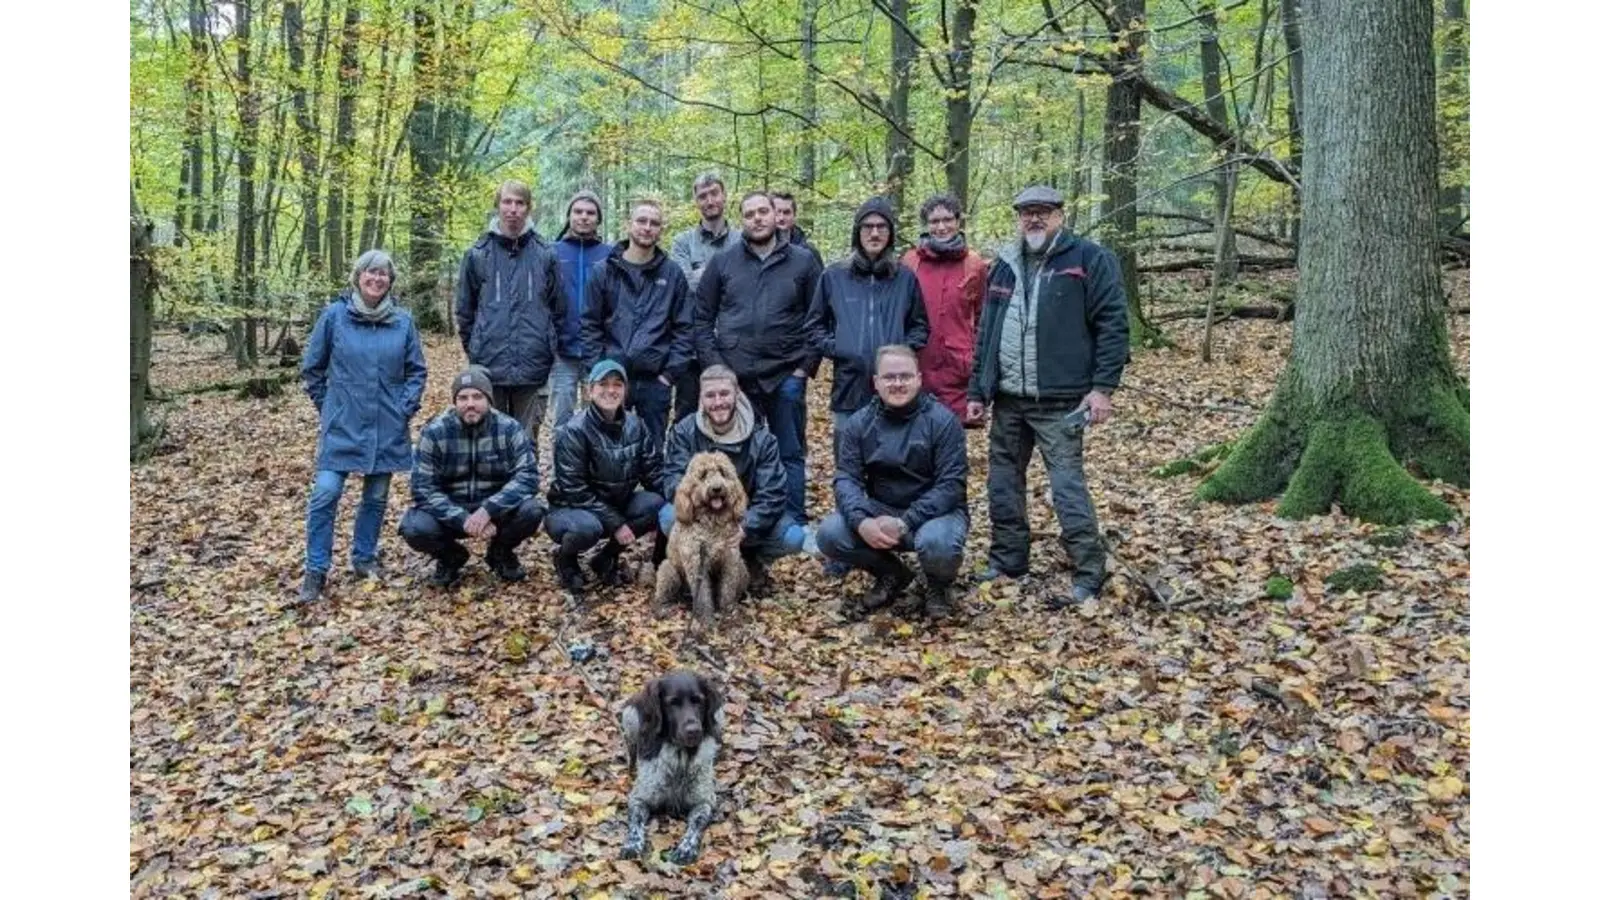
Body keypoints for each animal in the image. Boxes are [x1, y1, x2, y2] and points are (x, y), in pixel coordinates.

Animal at [649, 451, 748, 627]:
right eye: (702, 475)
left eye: (722, 472)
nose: (716, 488)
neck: (712, 522)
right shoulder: (696, 563)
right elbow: (702, 595)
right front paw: (706, 619)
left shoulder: (730, 559)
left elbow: (728, 589)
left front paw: (728, 612)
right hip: (669, 570)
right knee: (662, 596)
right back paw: (664, 608)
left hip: (742, 567)